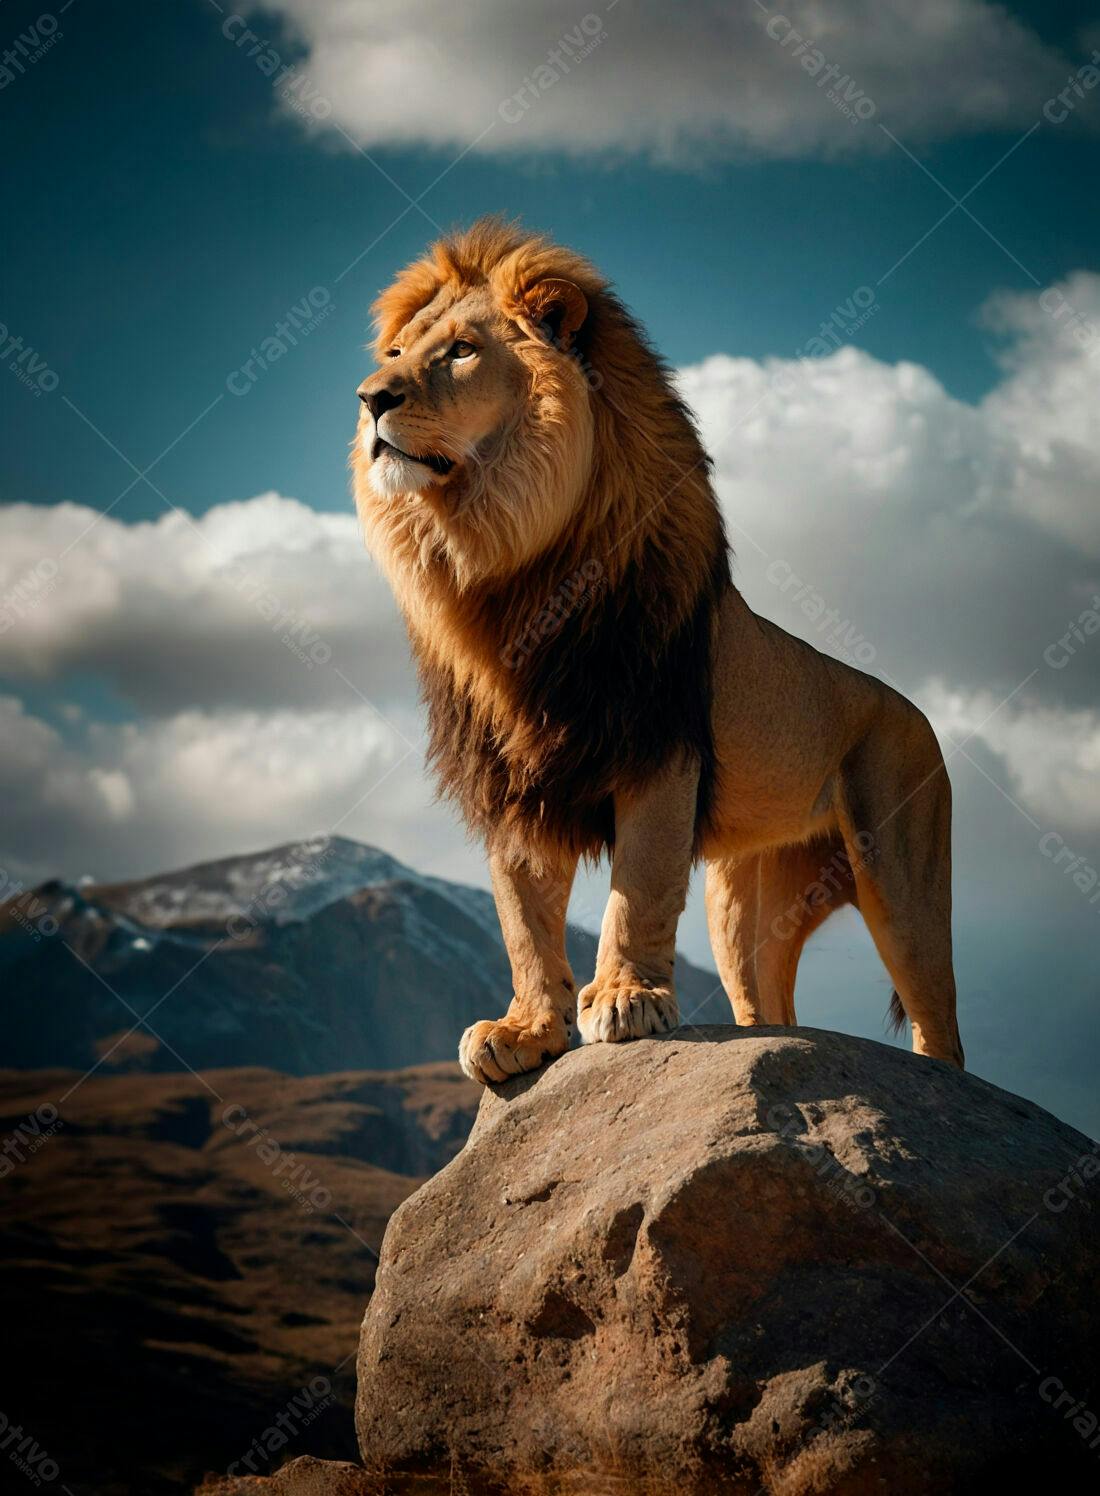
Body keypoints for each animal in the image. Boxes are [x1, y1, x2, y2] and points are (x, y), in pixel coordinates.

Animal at [351, 218, 964, 1085]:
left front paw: (623, 998)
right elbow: (522, 918)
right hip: (743, 904)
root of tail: (914, 710)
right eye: (398, 350)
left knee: (941, 1024)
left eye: (462, 351)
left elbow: (637, 886)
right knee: (767, 1008)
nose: (371, 398)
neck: (503, 564)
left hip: (903, 871)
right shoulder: (512, 777)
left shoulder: (656, 746)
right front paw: (525, 1031)